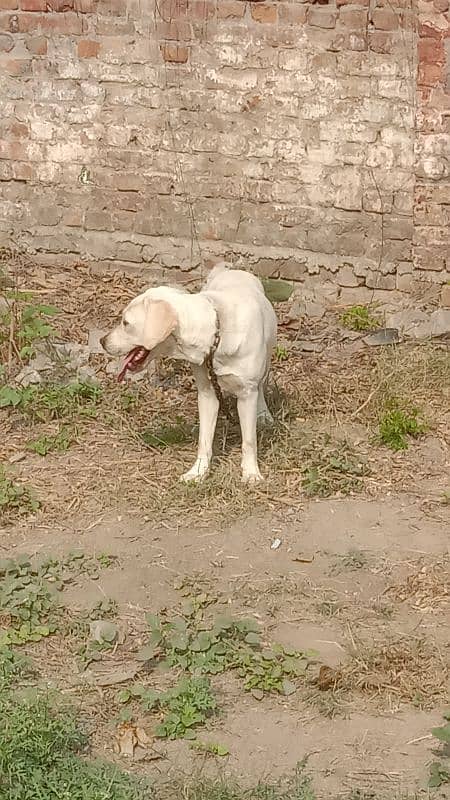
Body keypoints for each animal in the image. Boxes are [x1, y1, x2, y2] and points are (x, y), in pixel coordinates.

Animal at [101, 266, 278, 484]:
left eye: (126, 323)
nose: (102, 341)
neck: (216, 335)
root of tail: (231, 269)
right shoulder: (207, 393)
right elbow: (204, 440)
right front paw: (198, 472)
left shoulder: (247, 393)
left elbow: (249, 441)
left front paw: (251, 473)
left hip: (266, 360)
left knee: (261, 387)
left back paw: (264, 415)